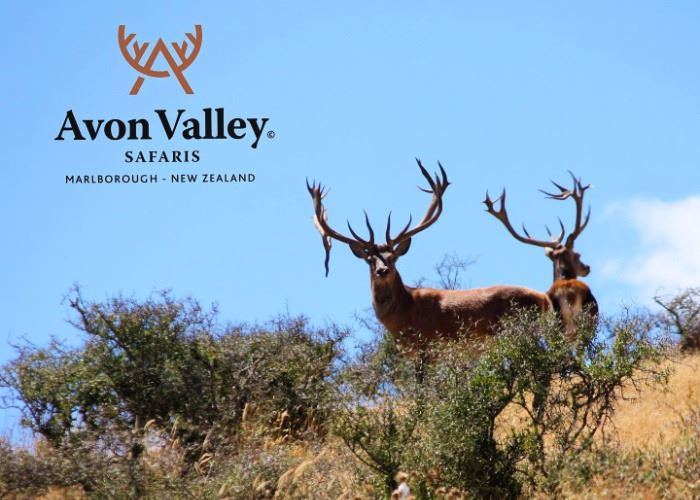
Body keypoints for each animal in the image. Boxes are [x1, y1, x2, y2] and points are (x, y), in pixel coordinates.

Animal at [306, 160, 552, 356]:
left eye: (393, 257)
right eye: (370, 259)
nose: (382, 270)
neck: (404, 314)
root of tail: (544, 300)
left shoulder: (427, 345)